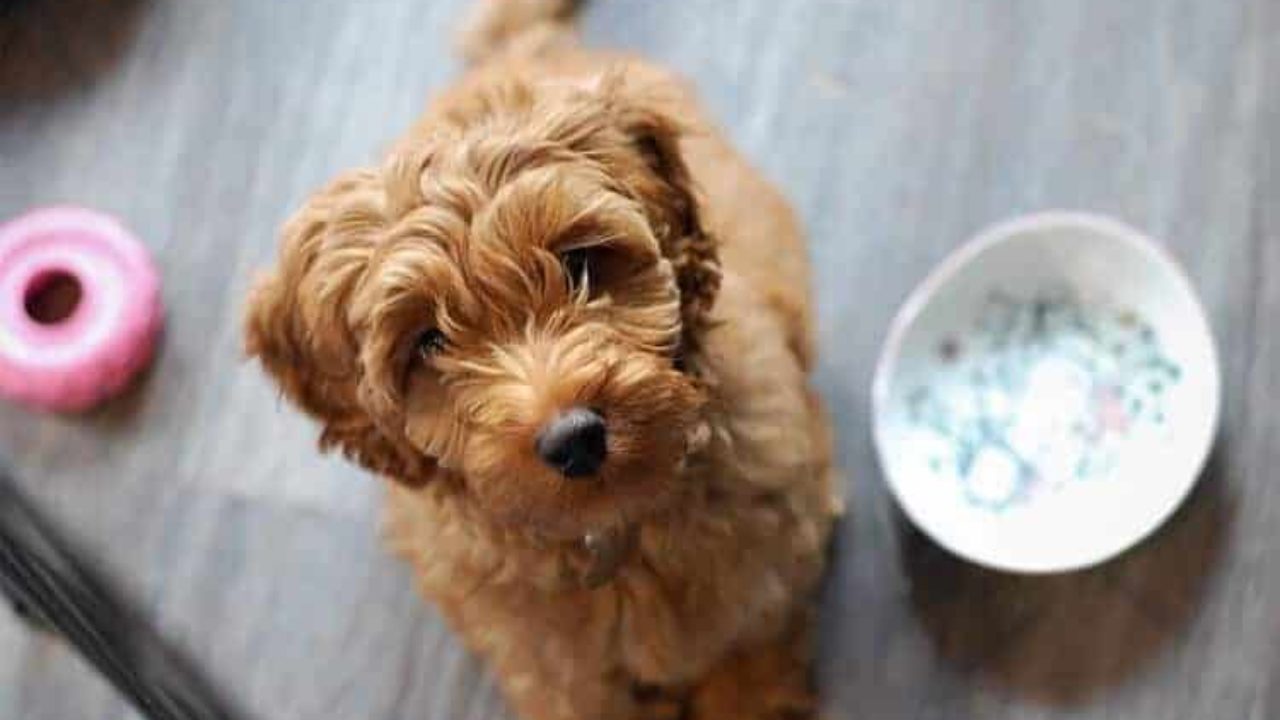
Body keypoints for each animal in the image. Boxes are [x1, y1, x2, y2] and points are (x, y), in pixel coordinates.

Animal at [241, 2, 839, 712]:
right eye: (428, 342)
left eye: (578, 264)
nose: (574, 439)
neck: (617, 530)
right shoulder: (551, 667)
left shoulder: (766, 578)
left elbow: (749, 664)